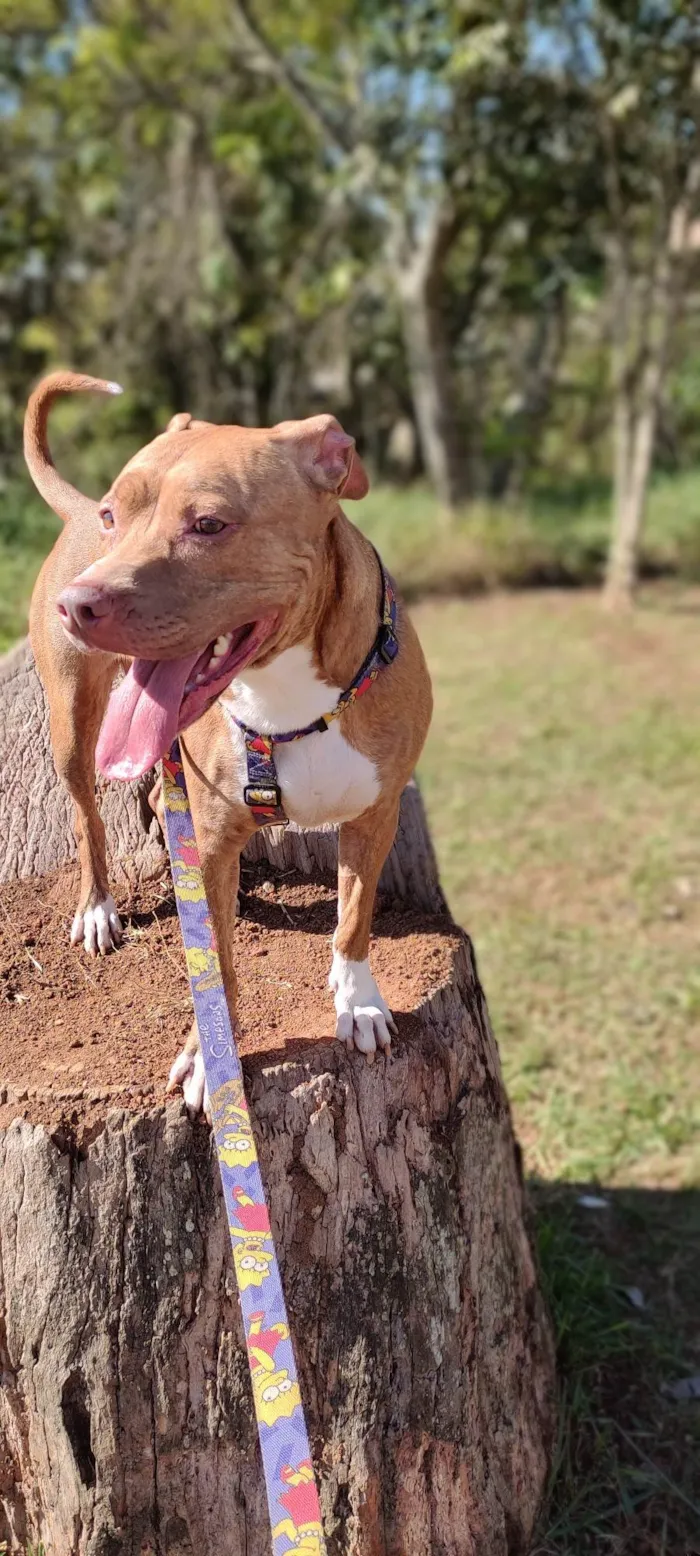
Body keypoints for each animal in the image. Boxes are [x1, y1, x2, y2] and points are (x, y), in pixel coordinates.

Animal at [23, 371, 432, 1114]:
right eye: (115, 516)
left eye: (208, 524)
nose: (80, 603)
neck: (290, 699)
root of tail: (71, 512)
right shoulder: (213, 833)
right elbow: (215, 962)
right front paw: (208, 1056)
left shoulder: (376, 813)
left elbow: (354, 918)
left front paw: (357, 1001)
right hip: (72, 724)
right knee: (87, 815)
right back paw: (97, 908)